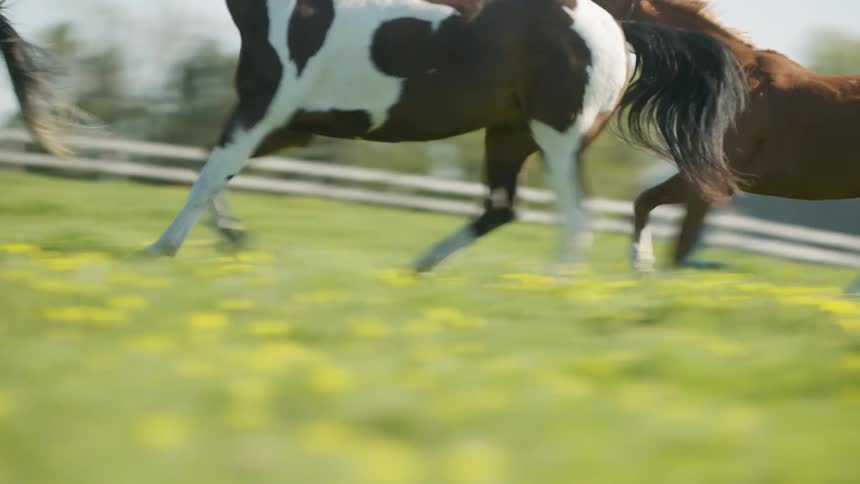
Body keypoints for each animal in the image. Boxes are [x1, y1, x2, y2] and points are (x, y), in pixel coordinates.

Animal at [1, 0, 747, 272]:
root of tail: (620, 30)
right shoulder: (287, 125)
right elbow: (216, 174)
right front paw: (232, 238)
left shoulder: (262, 108)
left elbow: (208, 171)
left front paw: (160, 249)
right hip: (508, 133)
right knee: (499, 209)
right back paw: (418, 268)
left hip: (556, 139)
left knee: (572, 216)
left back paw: (553, 285)